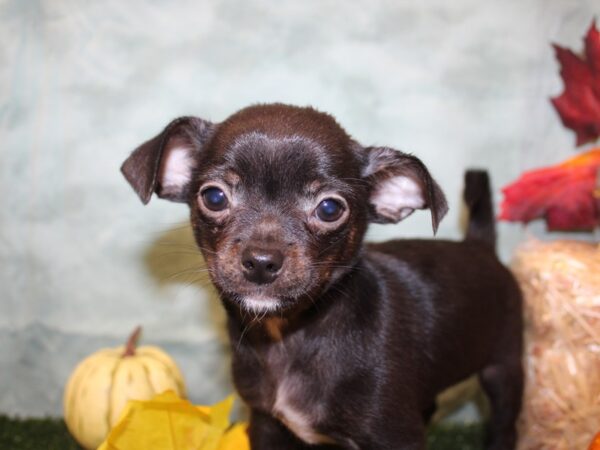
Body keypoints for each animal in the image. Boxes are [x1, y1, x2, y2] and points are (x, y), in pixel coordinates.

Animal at [120, 104, 520, 450]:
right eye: (214, 197)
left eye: (329, 208)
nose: (261, 261)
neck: (288, 337)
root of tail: (480, 245)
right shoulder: (266, 424)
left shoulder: (395, 437)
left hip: (503, 372)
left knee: (505, 424)